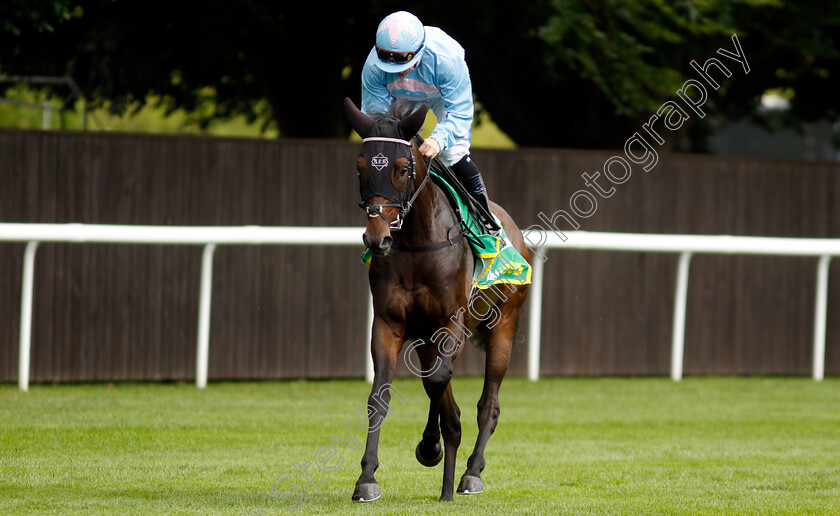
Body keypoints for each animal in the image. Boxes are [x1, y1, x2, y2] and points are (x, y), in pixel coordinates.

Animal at [342, 99, 532, 502]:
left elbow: (439, 381)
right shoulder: (390, 323)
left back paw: (471, 471)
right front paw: (367, 478)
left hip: (503, 326)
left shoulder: (452, 320)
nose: (377, 238)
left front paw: (439, 444)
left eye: (401, 168)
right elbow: (381, 395)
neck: (418, 242)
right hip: (428, 337)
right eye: (360, 167)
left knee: (488, 404)